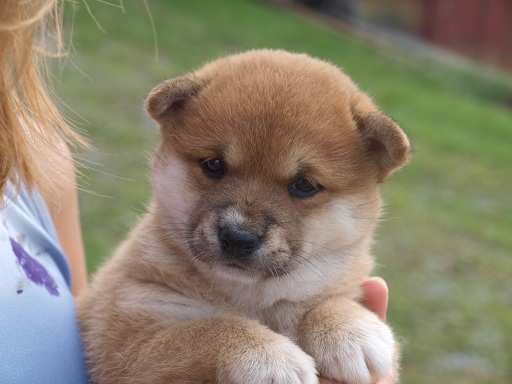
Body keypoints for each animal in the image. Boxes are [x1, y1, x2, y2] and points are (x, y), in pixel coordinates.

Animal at [78, 49, 410, 382]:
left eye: (304, 185)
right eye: (213, 164)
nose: (238, 238)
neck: (251, 299)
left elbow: (329, 298)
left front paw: (351, 329)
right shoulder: (128, 336)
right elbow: (207, 328)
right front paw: (271, 358)